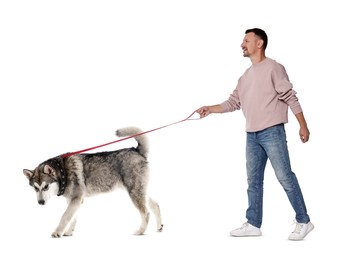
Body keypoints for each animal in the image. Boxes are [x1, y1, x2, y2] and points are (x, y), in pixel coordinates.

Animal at [22, 126, 163, 238]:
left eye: (46, 186)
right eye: (35, 188)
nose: (40, 202)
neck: (63, 172)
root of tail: (136, 150)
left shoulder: (76, 198)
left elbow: (65, 217)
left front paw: (58, 232)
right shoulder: (75, 200)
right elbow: (73, 218)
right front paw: (68, 232)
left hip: (134, 192)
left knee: (146, 213)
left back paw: (140, 231)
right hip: (139, 191)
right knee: (155, 205)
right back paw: (159, 226)